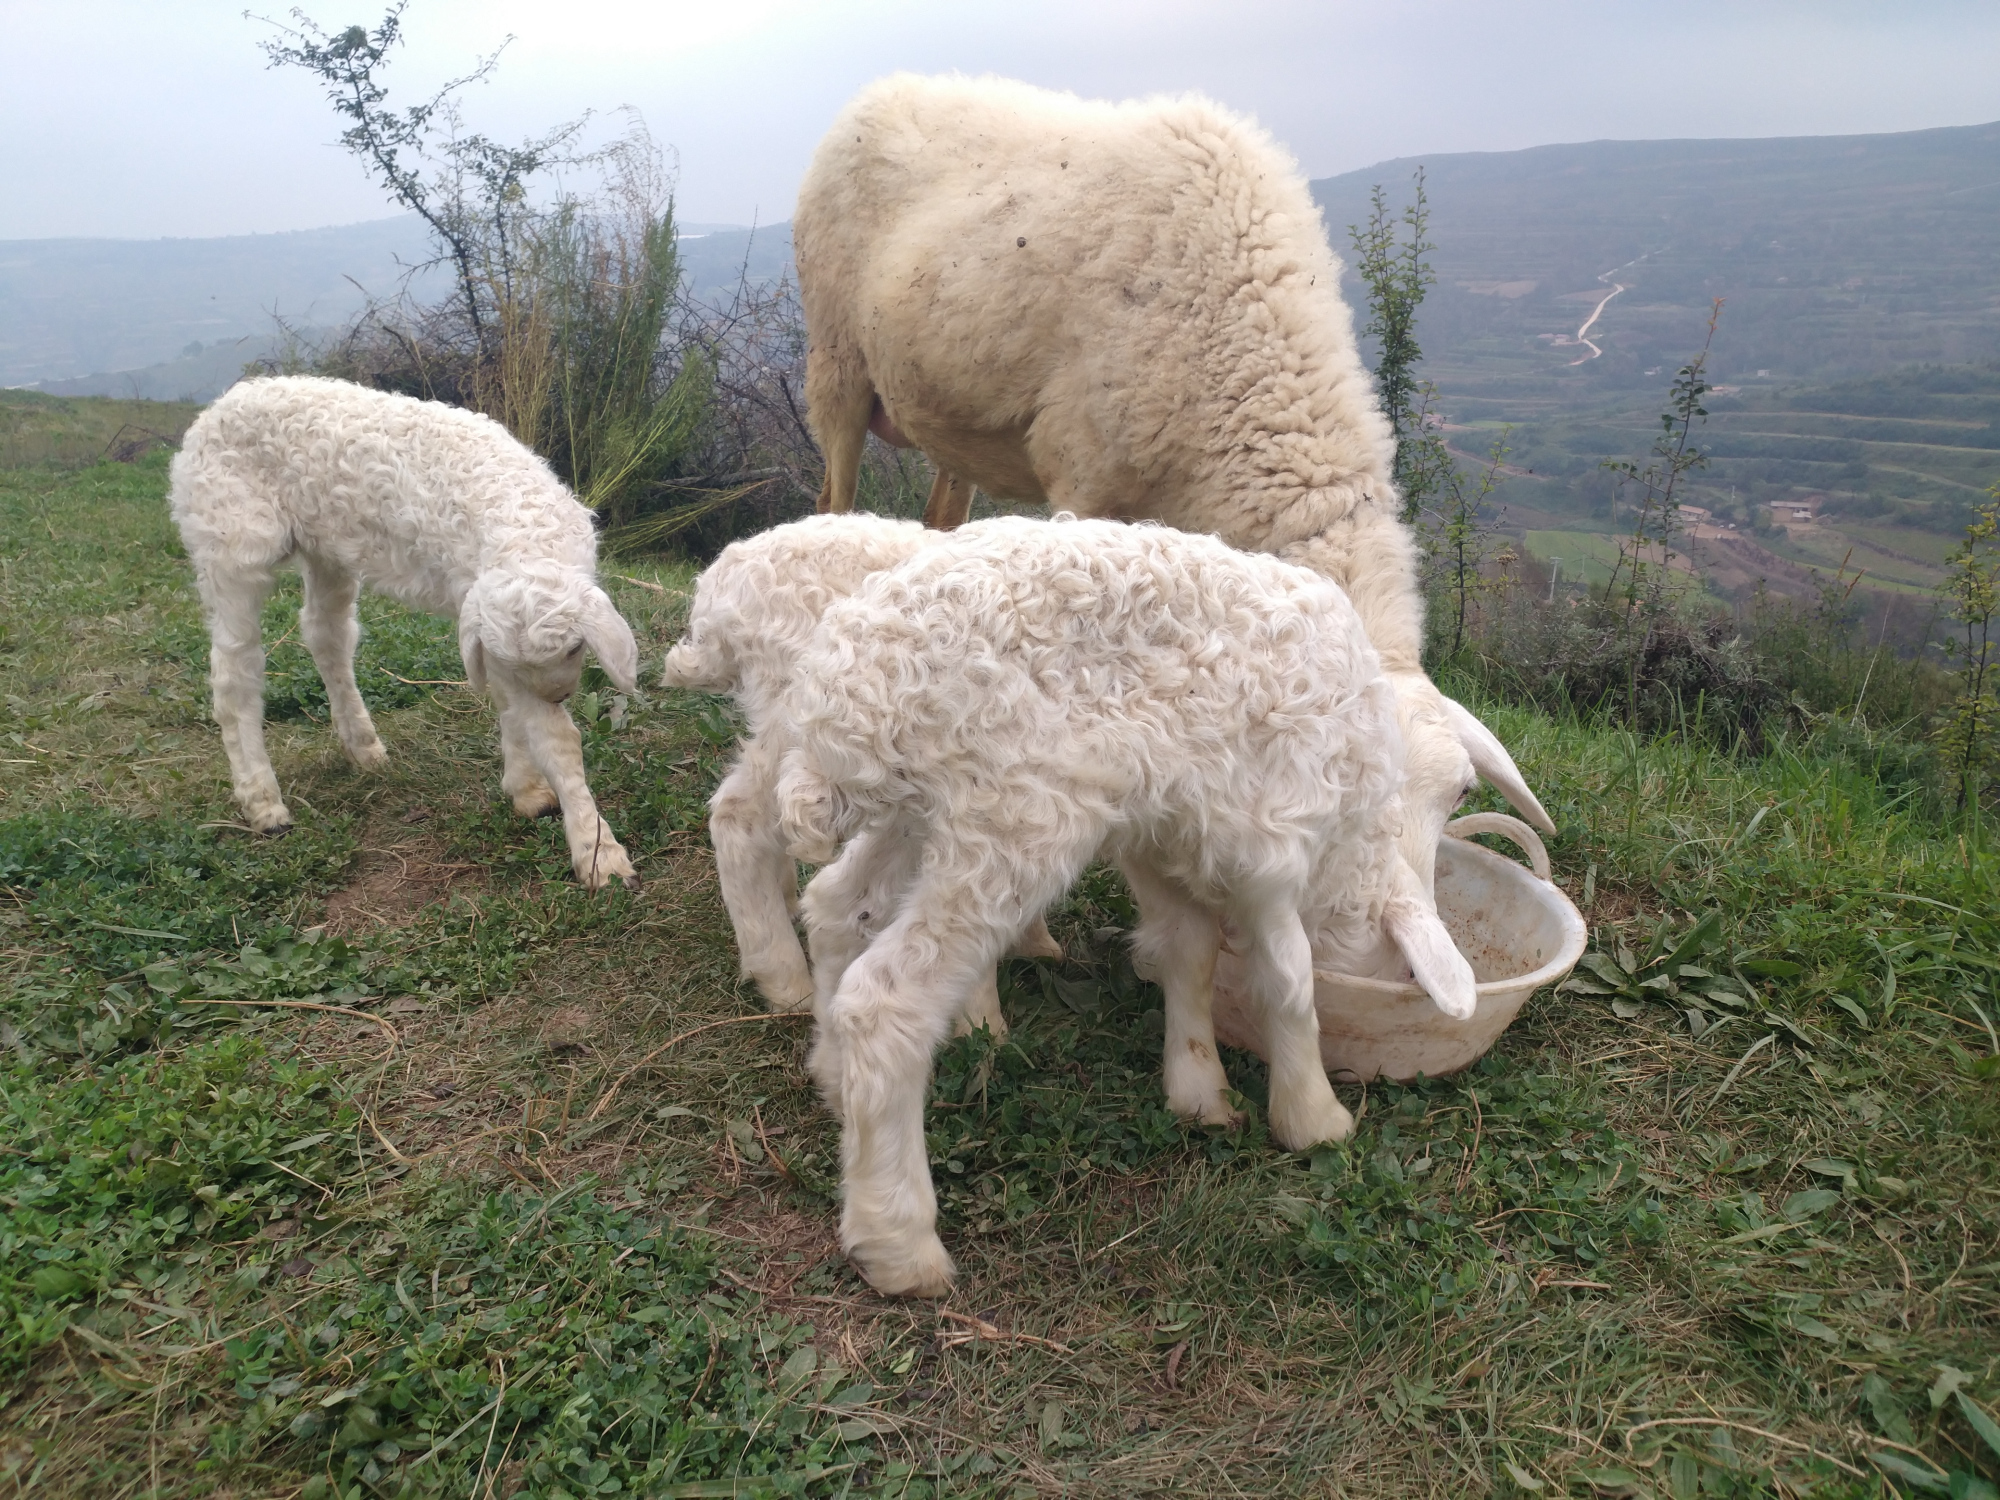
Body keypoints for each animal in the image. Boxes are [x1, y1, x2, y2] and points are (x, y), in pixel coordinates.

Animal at [175, 378, 640, 892]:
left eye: (578, 647)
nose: (559, 695)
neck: (519, 523)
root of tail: (226, 399)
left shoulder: (486, 626)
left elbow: (513, 711)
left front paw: (529, 790)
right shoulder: (490, 632)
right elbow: (553, 737)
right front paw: (597, 851)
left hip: (325, 543)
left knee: (325, 632)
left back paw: (362, 745)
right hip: (230, 539)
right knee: (235, 672)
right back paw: (263, 801)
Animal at [660, 512, 1064, 1032]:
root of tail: (724, 578)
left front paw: (1034, 943)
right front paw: (983, 1022)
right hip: (810, 722)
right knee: (740, 815)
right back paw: (786, 981)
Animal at [772, 516, 1480, 1296]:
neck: (1353, 845)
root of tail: (851, 680)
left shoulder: (1165, 837)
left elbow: (1189, 949)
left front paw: (1200, 1091)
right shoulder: (1275, 839)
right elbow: (1289, 978)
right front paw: (1314, 1115)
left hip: (919, 813)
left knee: (836, 904)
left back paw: (832, 1079)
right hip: (1012, 816)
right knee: (885, 1001)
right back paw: (898, 1243)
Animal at [788, 73, 1552, 928]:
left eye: (1456, 796)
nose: (1386, 919)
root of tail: (887, 88)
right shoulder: (1083, 476)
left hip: (948, 415)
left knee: (939, 519)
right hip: (837, 360)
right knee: (830, 497)